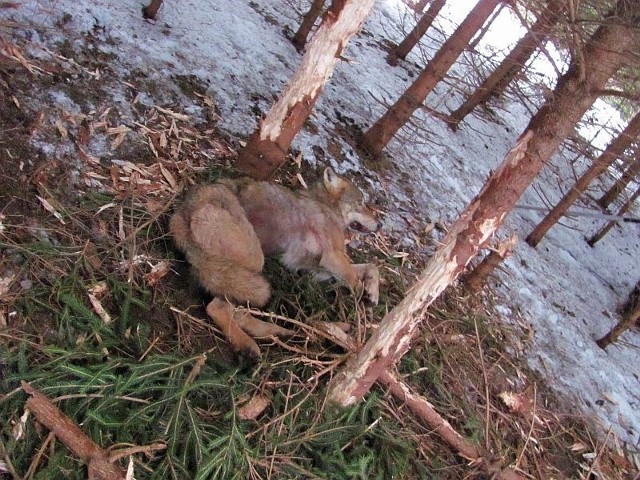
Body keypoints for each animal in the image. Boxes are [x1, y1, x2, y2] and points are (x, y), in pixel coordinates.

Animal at [170, 167, 380, 358]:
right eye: (361, 202)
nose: (379, 224)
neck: (326, 206)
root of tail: (181, 213)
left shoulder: (317, 271)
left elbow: (372, 267)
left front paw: (372, 294)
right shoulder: (333, 256)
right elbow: (355, 279)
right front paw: (362, 305)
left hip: (241, 275)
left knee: (238, 313)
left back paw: (281, 334)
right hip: (254, 263)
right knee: (219, 309)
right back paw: (249, 345)